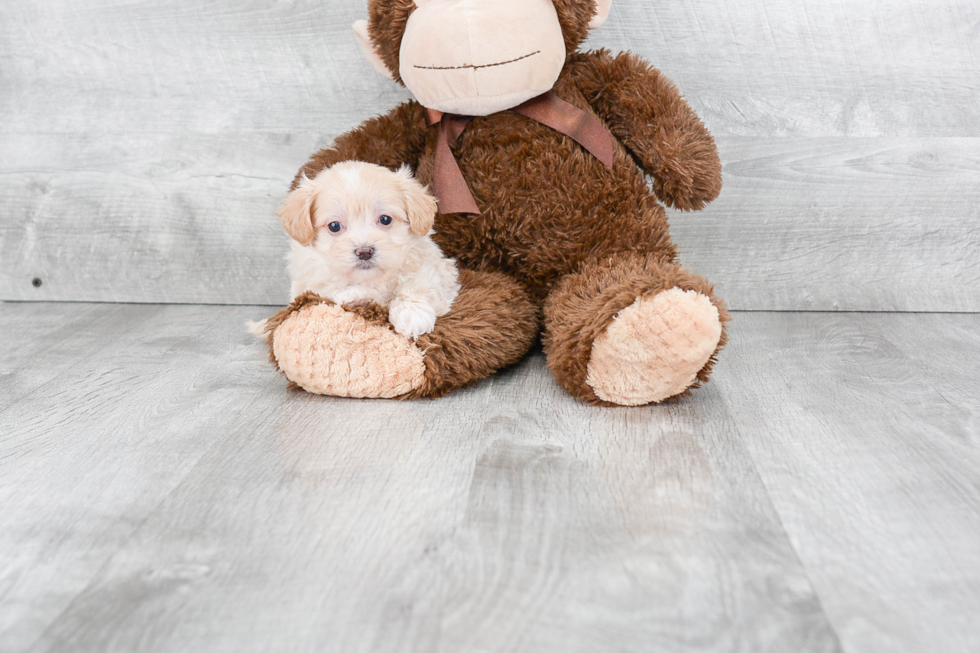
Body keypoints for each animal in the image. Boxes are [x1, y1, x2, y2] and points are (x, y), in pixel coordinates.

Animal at [276, 161, 460, 338]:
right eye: (334, 226)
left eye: (385, 219)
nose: (364, 252)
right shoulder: (309, 281)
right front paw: (353, 295)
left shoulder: (439, 268)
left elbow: (420, 281)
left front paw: (412, 314)